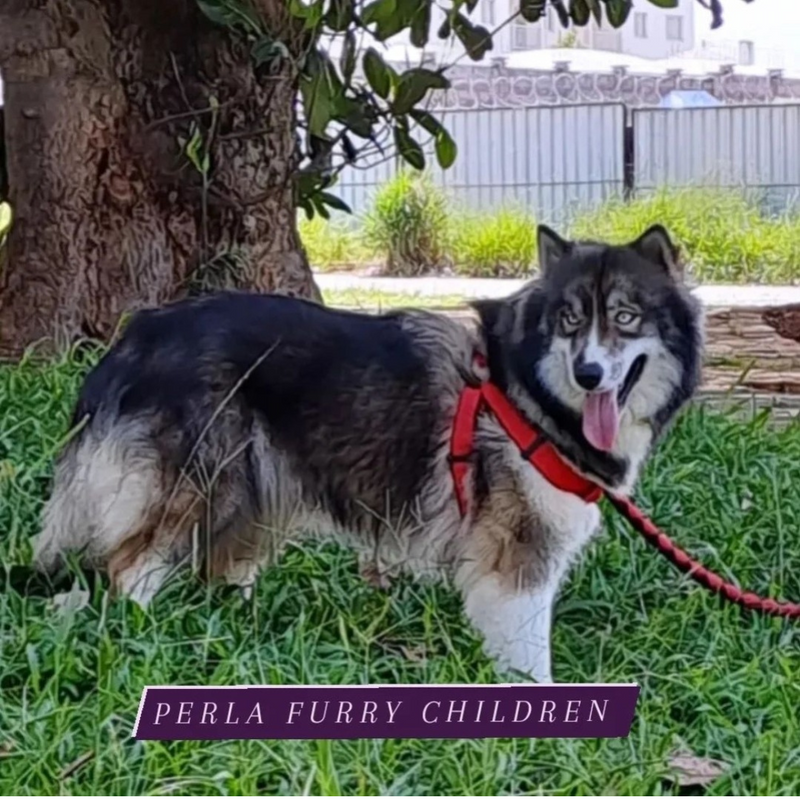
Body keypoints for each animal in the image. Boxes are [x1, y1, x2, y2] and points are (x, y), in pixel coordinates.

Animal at [34, 223, 704, 680]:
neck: (525, 391)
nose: (590, 375)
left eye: (625, 317)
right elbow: (528, 650)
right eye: (568, 320)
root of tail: (138, 336)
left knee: (218, 568)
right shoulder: (517, 554)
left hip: (252, 491)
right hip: (201, 486)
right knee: (129, 570)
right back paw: (149, 641)